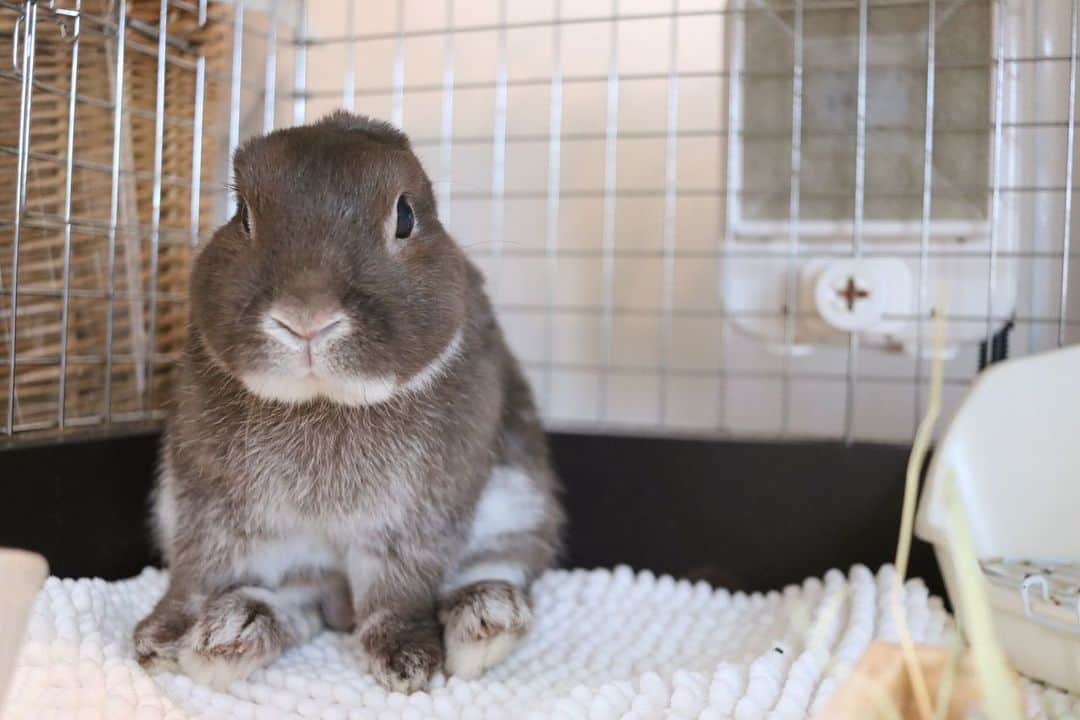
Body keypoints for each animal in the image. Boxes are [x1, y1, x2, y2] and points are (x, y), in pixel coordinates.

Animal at [132, 111, 564, 694]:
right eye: (243, 217)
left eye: (404, 216)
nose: (306, 317)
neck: (326, 401)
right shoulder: (205, 502)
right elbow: (197, 572)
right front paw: (158, 641)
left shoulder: (415, 518)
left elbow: (396, 593)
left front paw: (407, 661)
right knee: (296, 603)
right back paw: (229, 636)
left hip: (520, 504)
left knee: (499, 567)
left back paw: (483, 622)